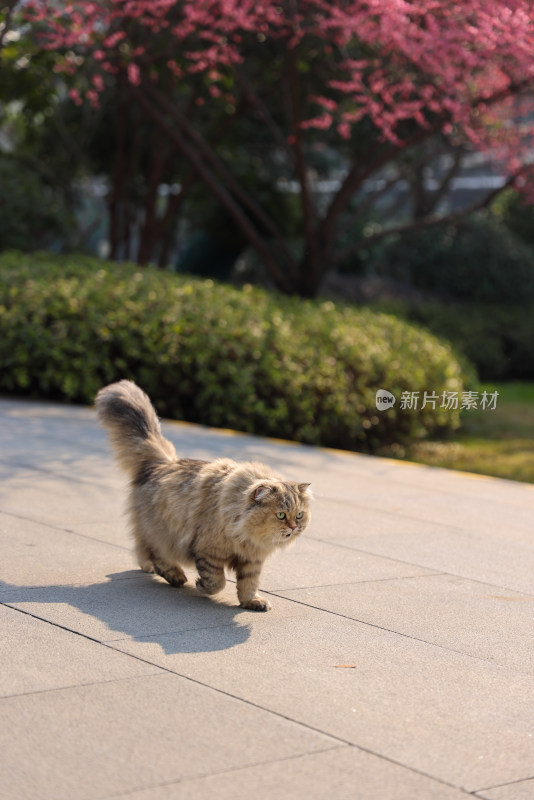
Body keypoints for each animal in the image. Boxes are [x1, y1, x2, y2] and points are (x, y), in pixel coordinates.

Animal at [97, 378, 314, 608]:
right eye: (281, 515)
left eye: (299, 515)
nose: (294, 527)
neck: (245, 533)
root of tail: (162, 463)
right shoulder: (209, 551)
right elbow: (217, 582)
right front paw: (202, 586)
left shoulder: (251, 560)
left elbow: (249, 583)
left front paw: (252, 602)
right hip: (162, 532)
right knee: (156, 553)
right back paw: (175, 576)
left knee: (142, 550)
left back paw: (150, 568)